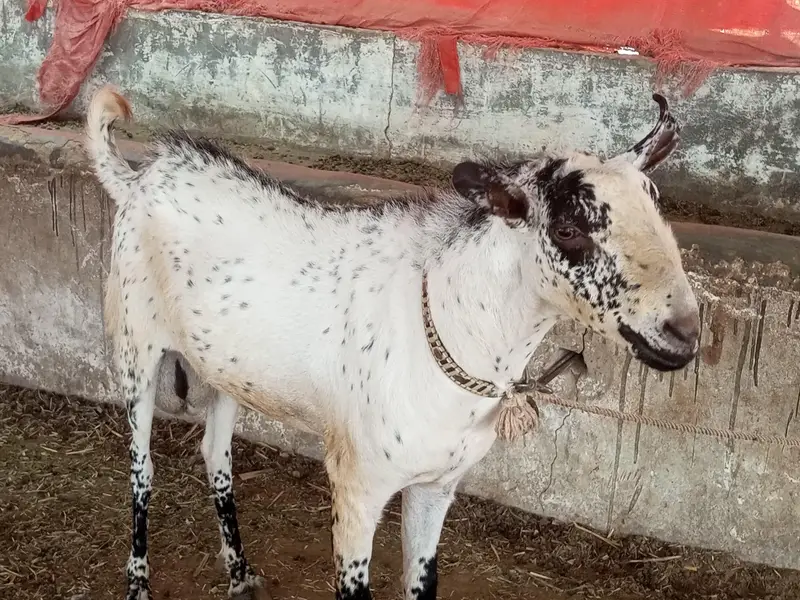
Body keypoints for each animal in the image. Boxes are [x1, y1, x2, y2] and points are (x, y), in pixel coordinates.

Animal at [86, 86, 700, 600]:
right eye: (569, 229)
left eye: (655, 204)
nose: (685, 332)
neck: (446, 323)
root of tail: (139, 177)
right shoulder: (356, 485)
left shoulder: (437, 486)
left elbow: (422, 584)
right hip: (134, 347)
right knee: (143, 469)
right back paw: (138, 582)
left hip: (227, 369)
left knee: (215, 453)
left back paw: (239, 574)